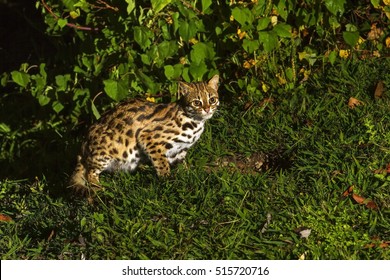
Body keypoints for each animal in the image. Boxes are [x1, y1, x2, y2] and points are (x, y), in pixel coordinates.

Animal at [68, 74, 218, 195]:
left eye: (212, 100)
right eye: (197, 102)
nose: (207, 109)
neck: (195, 122)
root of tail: (82, 147)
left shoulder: (180, 151)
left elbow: (182, 166)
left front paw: (188, 177)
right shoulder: (147, 137)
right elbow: (162, 164)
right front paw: (167, 181)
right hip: (106, 149)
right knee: (90, 173)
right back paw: (99, 189)